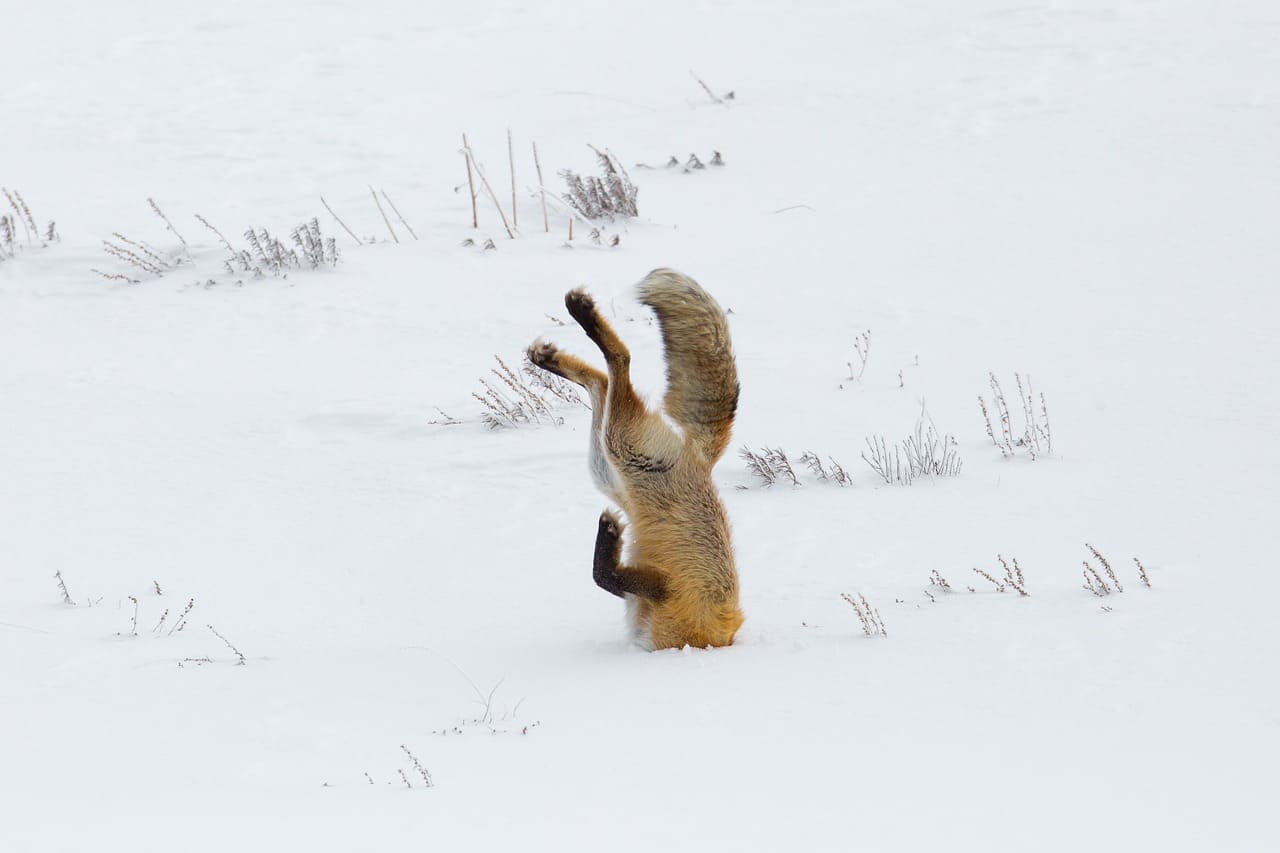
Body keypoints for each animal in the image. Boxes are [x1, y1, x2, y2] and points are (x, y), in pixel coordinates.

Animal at [526, 268, 743, 650]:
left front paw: (609, 532)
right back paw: (557, 346)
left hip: (618, 451)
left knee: (614, 367)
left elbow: (603, 576)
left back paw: (574, 325)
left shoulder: (664, 592)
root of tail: (702, 458)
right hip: (611, 458)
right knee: (606, 376)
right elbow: (604, 577)